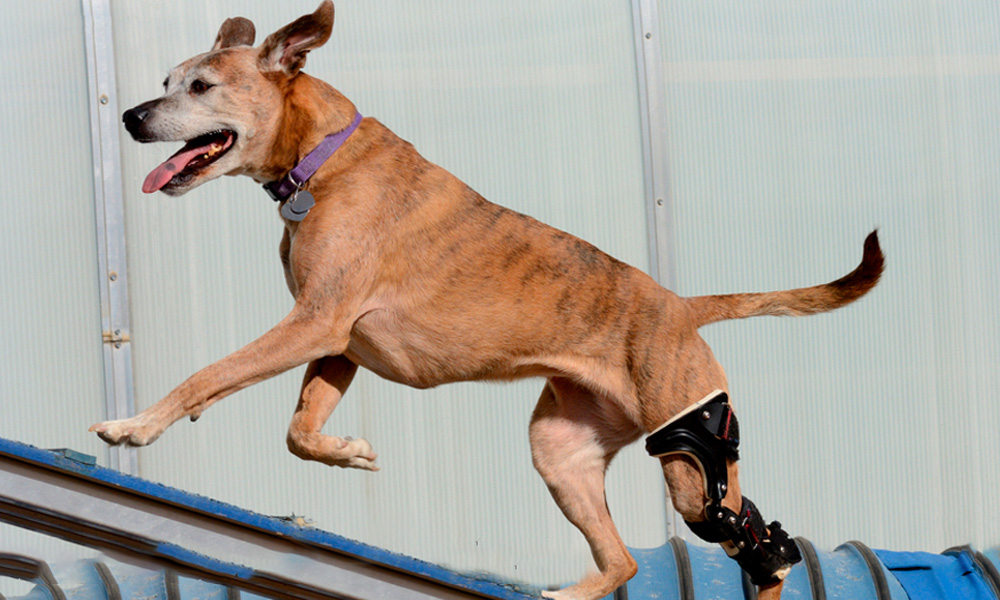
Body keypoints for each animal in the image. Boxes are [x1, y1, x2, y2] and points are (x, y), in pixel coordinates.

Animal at [94, 2, 888, 596]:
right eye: (167, 79)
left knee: (758, 541)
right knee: (625, 560)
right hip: (562, 451)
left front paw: (135, 427)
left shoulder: (314, 323)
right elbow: (297, 431)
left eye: (201, 87)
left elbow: (211, 373)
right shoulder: (338, 343)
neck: (321, 158)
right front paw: (350, 453)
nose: (130, 116)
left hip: (691, 453)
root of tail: (682, 307)